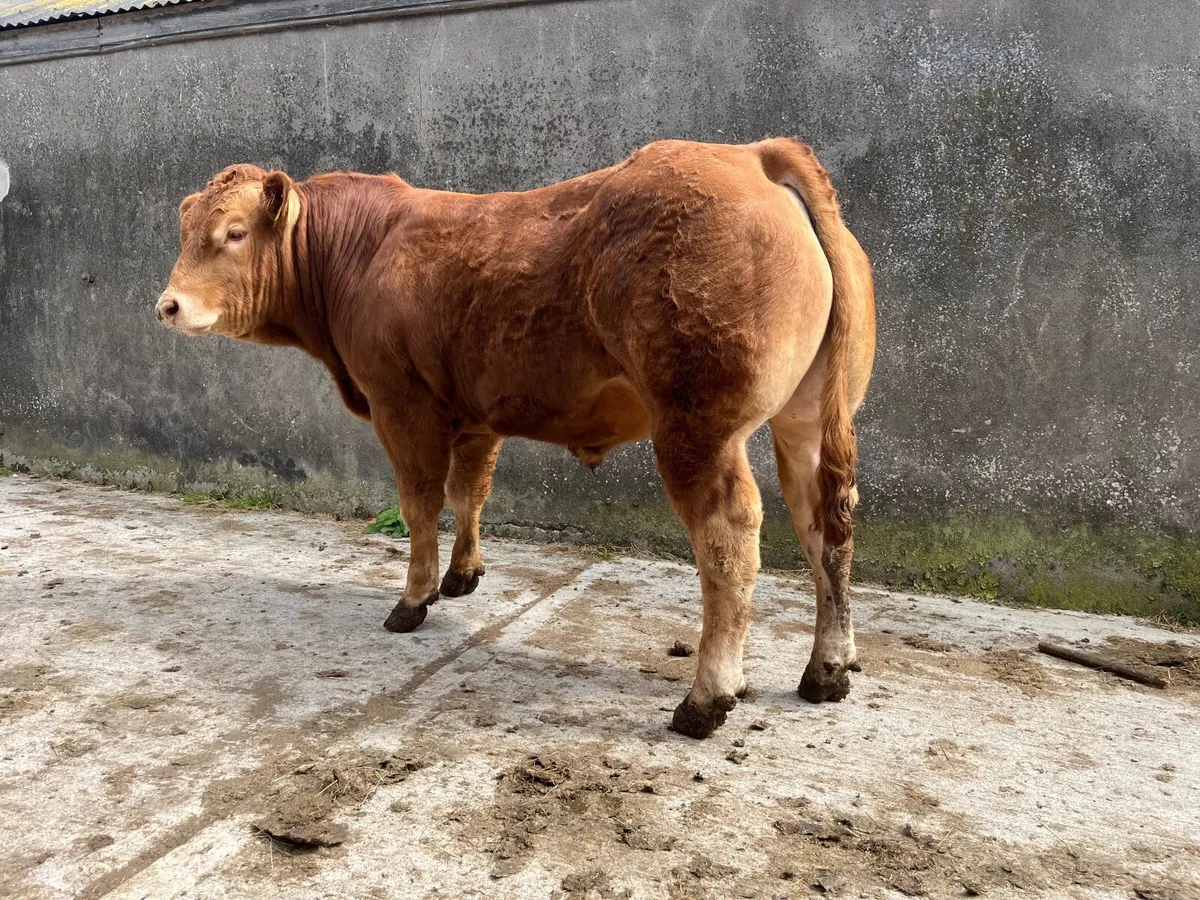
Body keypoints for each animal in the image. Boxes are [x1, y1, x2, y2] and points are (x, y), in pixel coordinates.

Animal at [156, 139, 876, 739]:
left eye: (233, 233)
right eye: (187, 231)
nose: (167, 305)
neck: (360, 251)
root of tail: (751, 154)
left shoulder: (400, 405)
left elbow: (421, 502)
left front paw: (413, 599)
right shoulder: (476, 415)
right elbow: (469, 492)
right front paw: (462, 575)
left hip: (697, 426)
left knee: (729, 539)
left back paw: (706, 698)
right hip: (809, 420)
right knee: (826, 527)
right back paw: (827, 669)